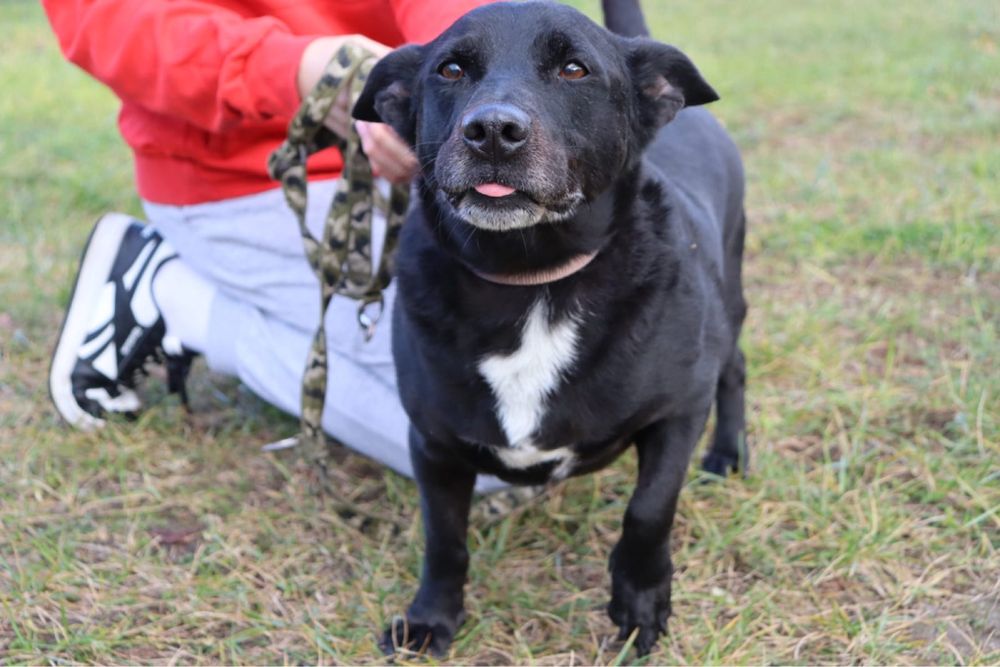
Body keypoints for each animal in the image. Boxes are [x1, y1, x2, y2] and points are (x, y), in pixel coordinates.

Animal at [356, 0, 748, 656]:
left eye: (573, 69)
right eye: (451, 69)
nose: (492, 131)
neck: (532, 279)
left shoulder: (679, 410)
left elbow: (649, 511)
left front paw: (639, 606)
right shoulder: (433, 442)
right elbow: (444, 538)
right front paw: (431, 619)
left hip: (732, 291)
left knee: (735, 366)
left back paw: (729, 454)